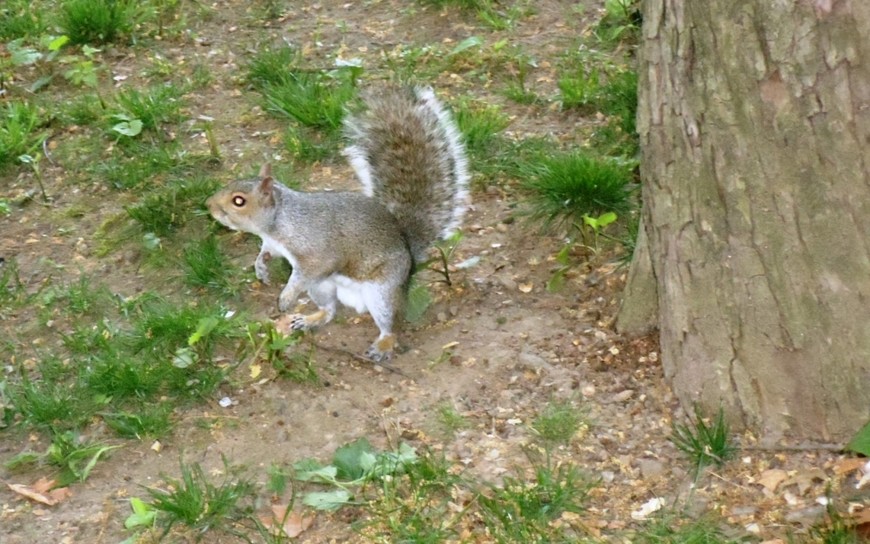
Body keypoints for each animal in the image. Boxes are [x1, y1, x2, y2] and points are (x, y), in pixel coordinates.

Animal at [207, 86, 470, 362]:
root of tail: (409, 258)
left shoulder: (316, 253)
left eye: (239, 201)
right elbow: (265, 253)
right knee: (330, 309)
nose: (208, 206)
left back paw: (384, 343)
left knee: (391, 323)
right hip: (322, 287)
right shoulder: (273, 245)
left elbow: (305, 273)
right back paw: (311, 319)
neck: (279, 222)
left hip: (382, 292)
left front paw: (286, 297)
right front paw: (260, 267)